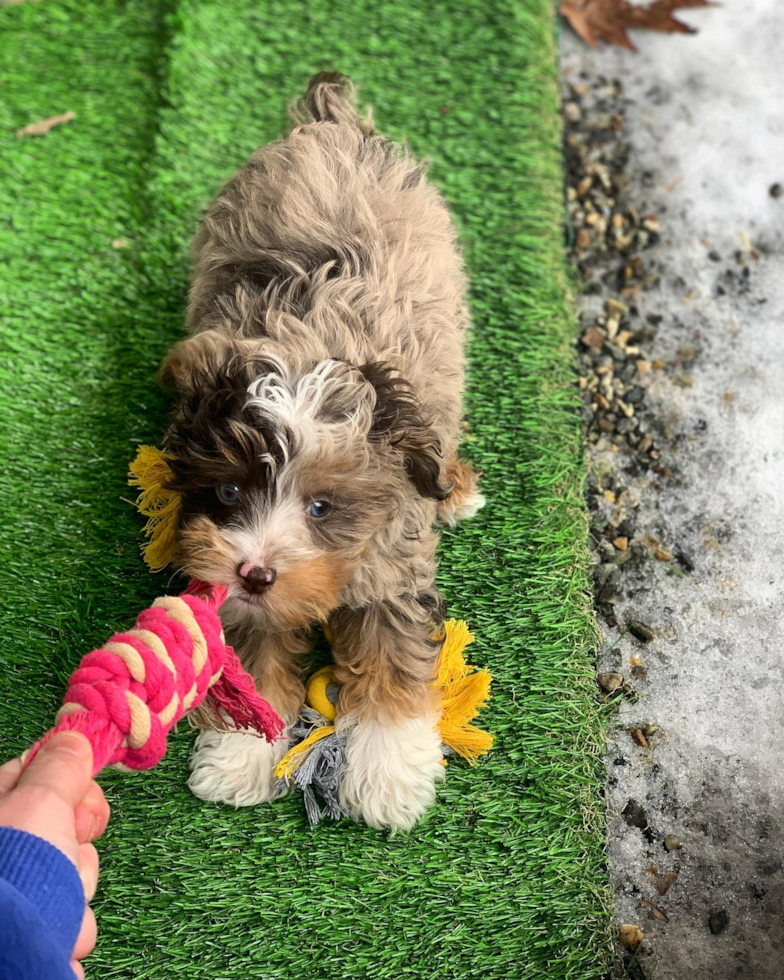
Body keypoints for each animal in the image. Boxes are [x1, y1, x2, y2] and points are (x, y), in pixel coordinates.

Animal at [161, 72, 484, 832]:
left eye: (322, 507)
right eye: (229, 491)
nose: (255, 573)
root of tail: (329, 124)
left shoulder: (392, 555)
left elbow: (394, 652)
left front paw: (389, 776)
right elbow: (252, 653)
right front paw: (239, 758)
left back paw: (455, 486)